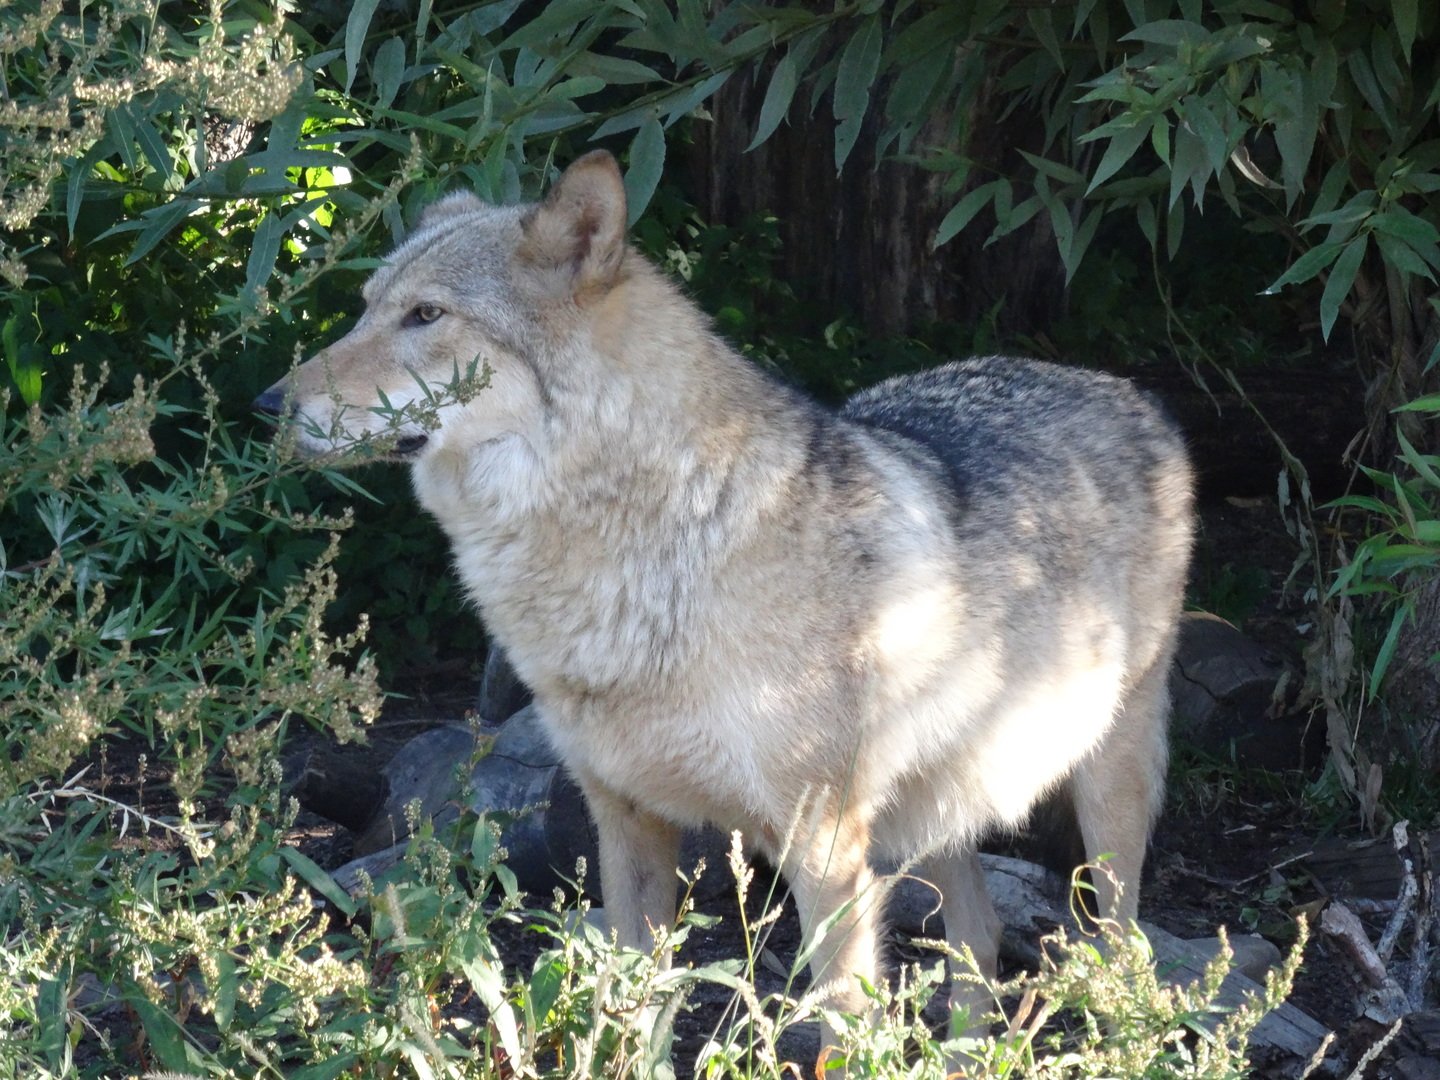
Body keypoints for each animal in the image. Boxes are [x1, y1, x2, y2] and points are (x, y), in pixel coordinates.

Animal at [256, 150, 1192, 1048]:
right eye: (366, 310)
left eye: (427, 316)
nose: (266, 402)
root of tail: (1126, 392)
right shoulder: (625, 823)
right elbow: (630, 1023)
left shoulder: (823, 851)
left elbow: (847, 1037)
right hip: (932, 813)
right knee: (982, 939)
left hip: (1100, 799)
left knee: (1121, 952)